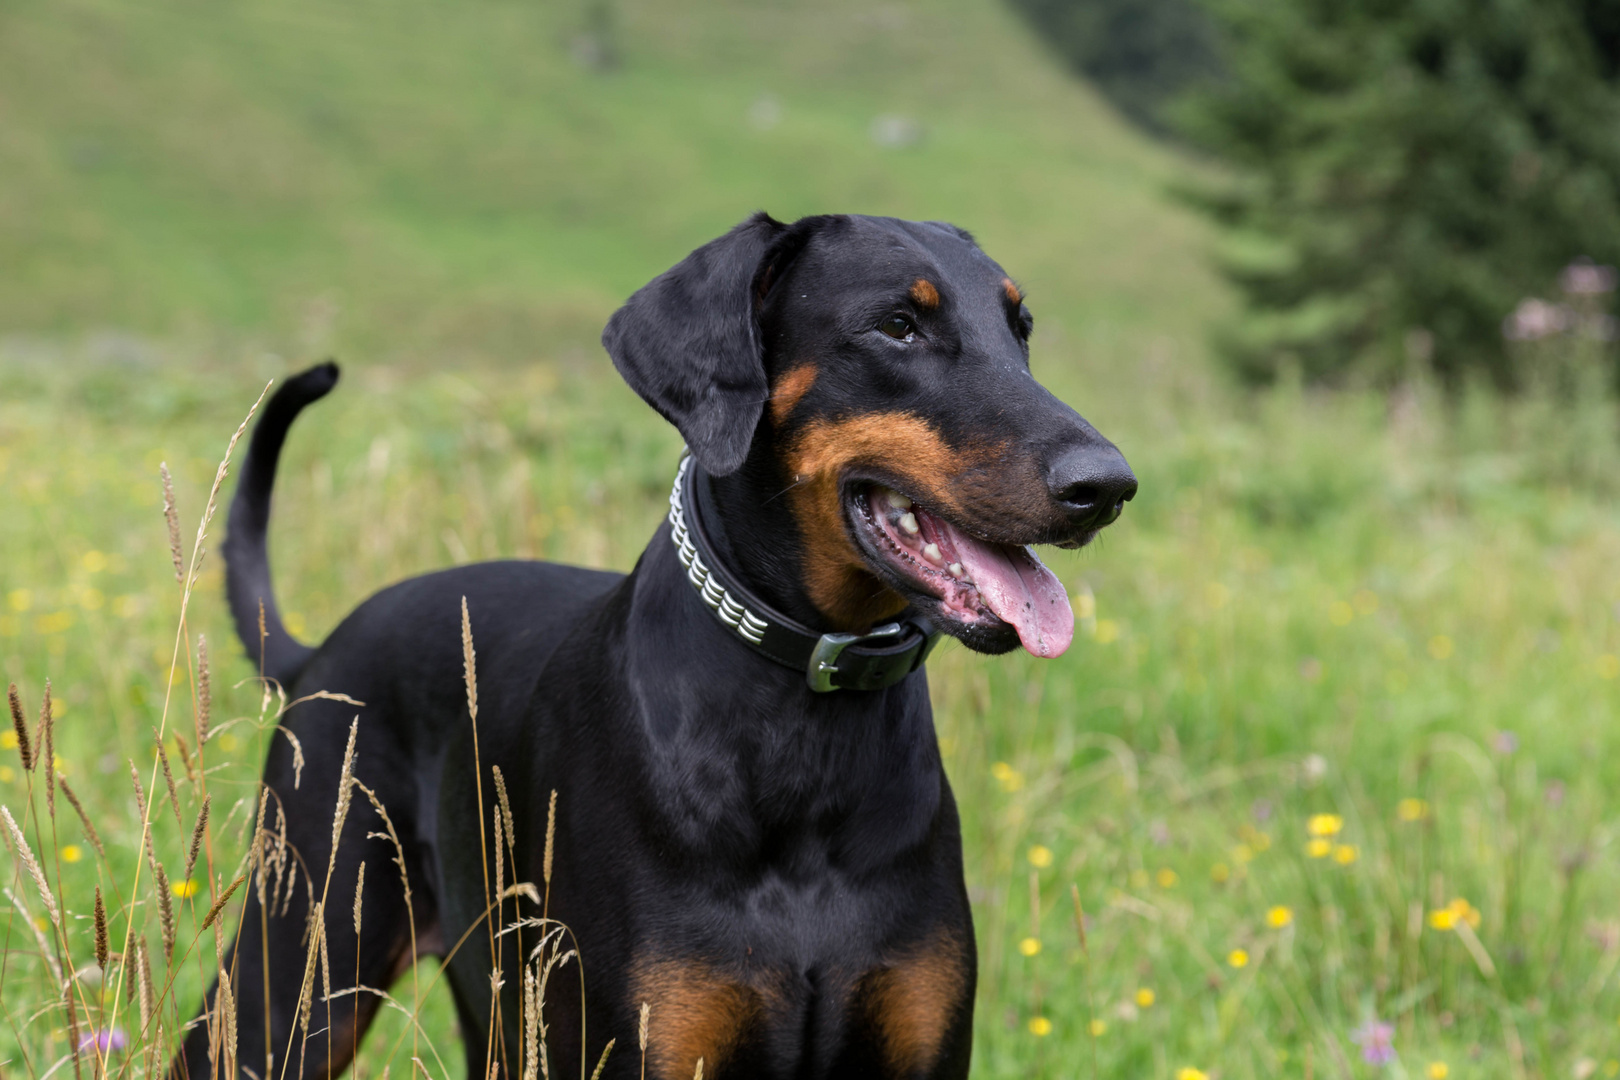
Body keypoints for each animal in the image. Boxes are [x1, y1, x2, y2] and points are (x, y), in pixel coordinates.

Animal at [177, 213, 1134, 1080]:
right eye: (898, 324)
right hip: (296, 982)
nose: (1109, 485)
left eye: (1020, 329)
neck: (802, 720)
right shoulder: (635, 1044)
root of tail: (314, 655)